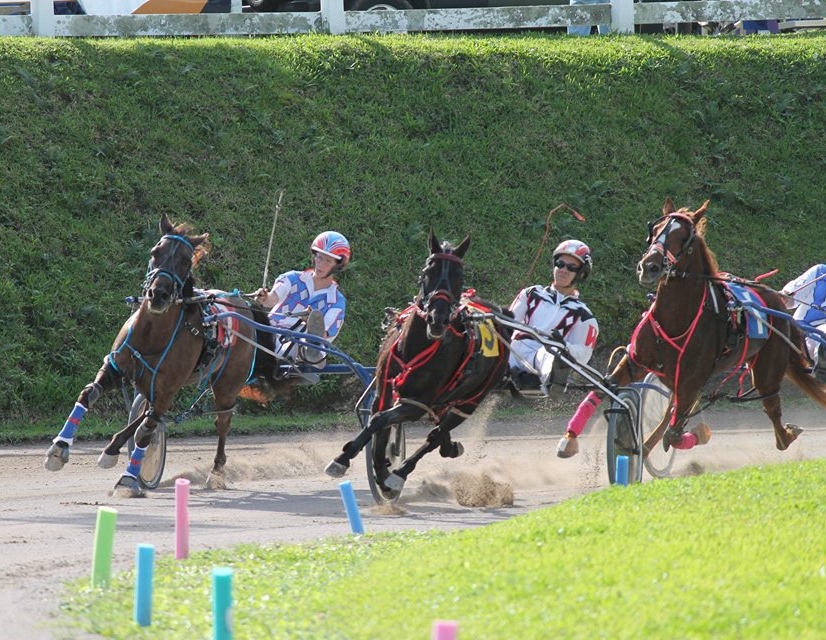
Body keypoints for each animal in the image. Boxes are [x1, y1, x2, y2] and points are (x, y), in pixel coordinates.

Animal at [44, 214, 268, 496]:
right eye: (155, 252)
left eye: (186, 260)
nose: (158, 294)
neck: (152, 335)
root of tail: (243, 305)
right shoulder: (115, 368)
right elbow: (89, 394)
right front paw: (59, 448)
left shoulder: (168, 387)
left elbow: (146, 431)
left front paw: (129, 479)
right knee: (146, 414)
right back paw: (112, 447)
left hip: (226, 386)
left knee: (221, 421)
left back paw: (216, 472)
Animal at [322, 230, 508, 500]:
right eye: (427, 271)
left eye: (460, 276)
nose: (437, 318)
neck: (414, 347)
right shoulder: (385, 389)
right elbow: (377, 427)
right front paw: (364, 463)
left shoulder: (417, 403)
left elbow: (379, 421)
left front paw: (383, 474)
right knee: (438, 431)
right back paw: (447, 447)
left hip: (471, 400)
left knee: (434, 436)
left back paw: (401, 473)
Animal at [568, 198, 824, 458]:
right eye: (656, 230)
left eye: (683, 237)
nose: (648, 267)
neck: (675, 319)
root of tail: (776, 300)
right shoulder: (636, 362)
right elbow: (602, 389)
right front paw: (569, 440)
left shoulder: (691, 380)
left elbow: (674, 432)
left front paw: (697, 434)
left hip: (767, 370)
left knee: (773, 414)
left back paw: (788, 433)